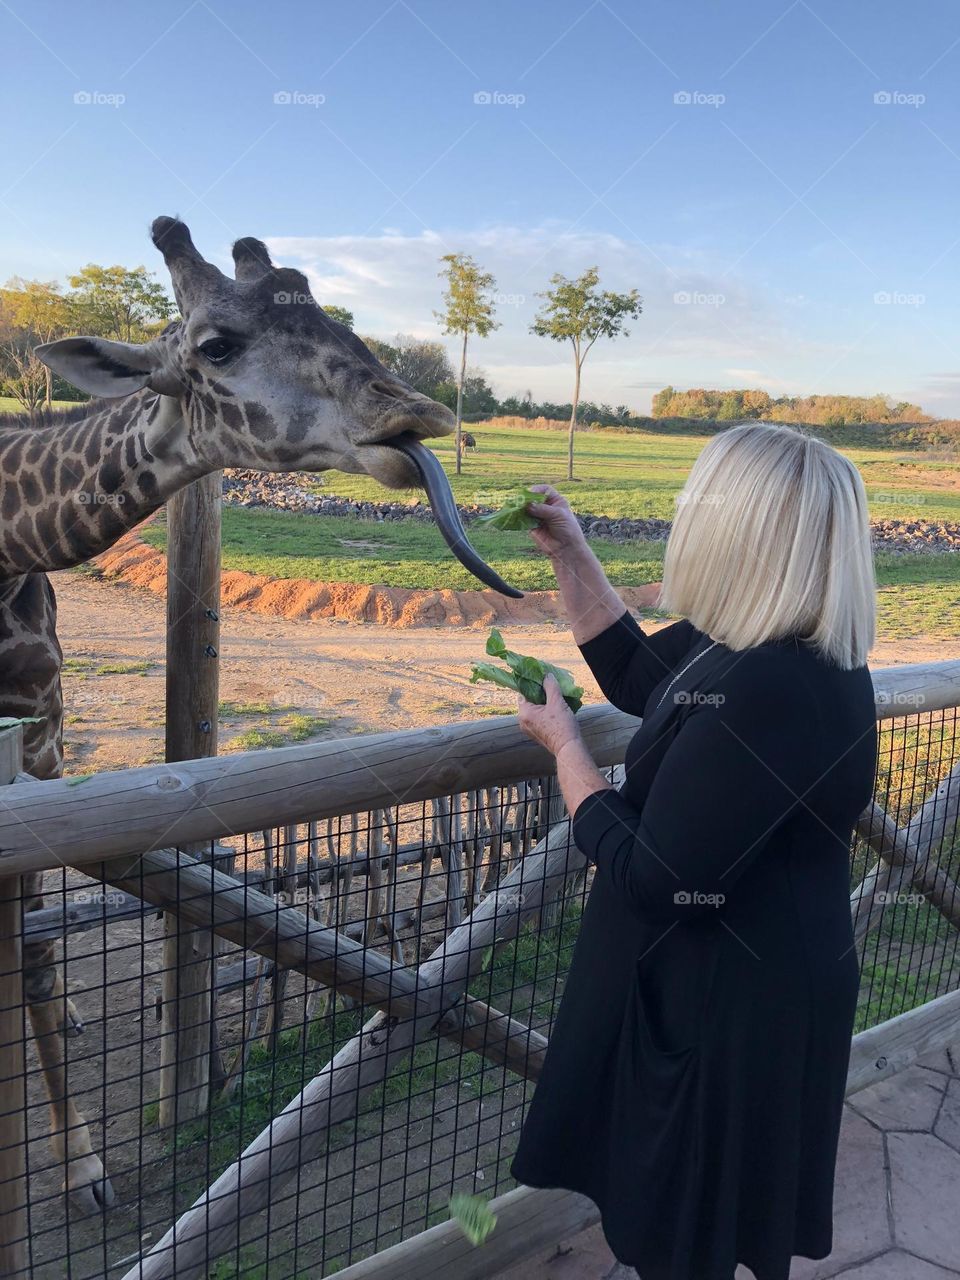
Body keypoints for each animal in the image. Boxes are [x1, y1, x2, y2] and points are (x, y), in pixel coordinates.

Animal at [7, 215, 519, 1213]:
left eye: (331, 313)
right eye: (215, 346)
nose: (420, 417)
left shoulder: (35, 748)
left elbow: (36, 960)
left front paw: (83, 1168)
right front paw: (78, 1168)